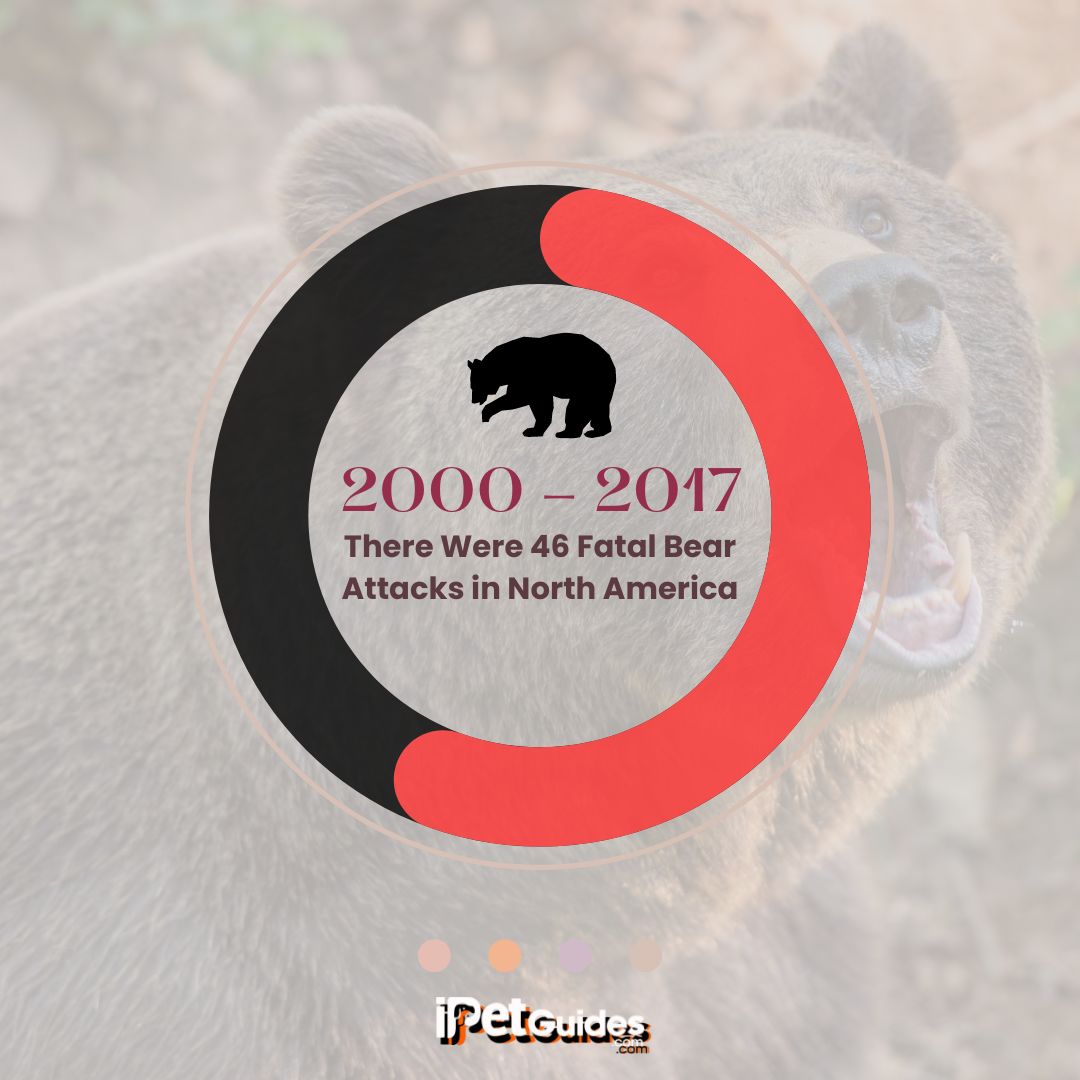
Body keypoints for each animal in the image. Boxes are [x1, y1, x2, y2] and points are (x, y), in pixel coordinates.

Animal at [470, 332, 616, 437]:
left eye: (475, 386)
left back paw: (567, 433)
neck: (506, 365)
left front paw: (486, 413)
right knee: (598, 407)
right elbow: (539, 404)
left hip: (589, 381)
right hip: (599, 385)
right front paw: (533, 430)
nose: (473, 400)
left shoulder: (529, 375)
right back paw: (598, 430)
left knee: (579, 407)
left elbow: (520, 397)